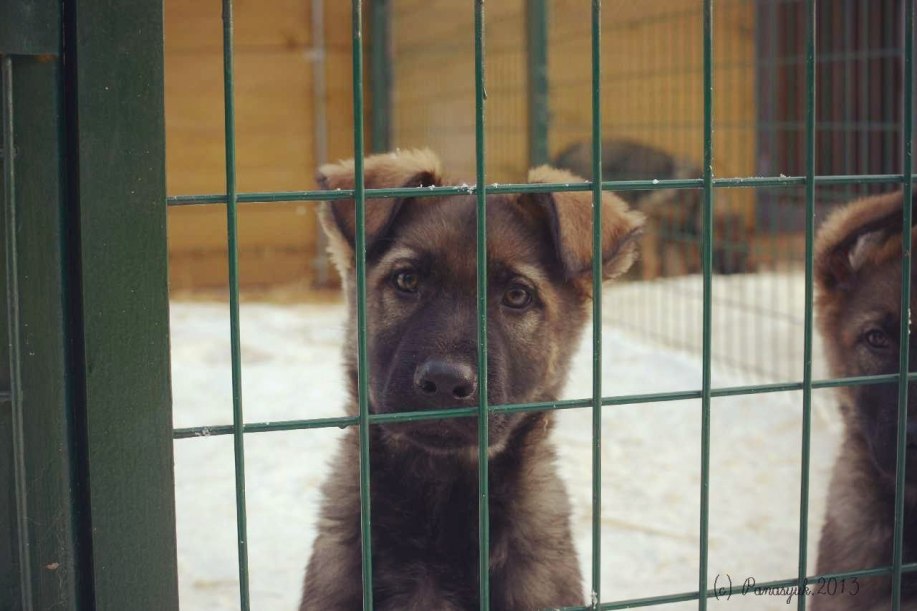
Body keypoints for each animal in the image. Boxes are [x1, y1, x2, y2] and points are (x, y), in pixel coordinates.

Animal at [553, 138, 749, 279]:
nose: (732, 272)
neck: (696, 202)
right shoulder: (653, 219)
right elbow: (653, 261)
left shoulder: (672, 237)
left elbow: (675, 267)